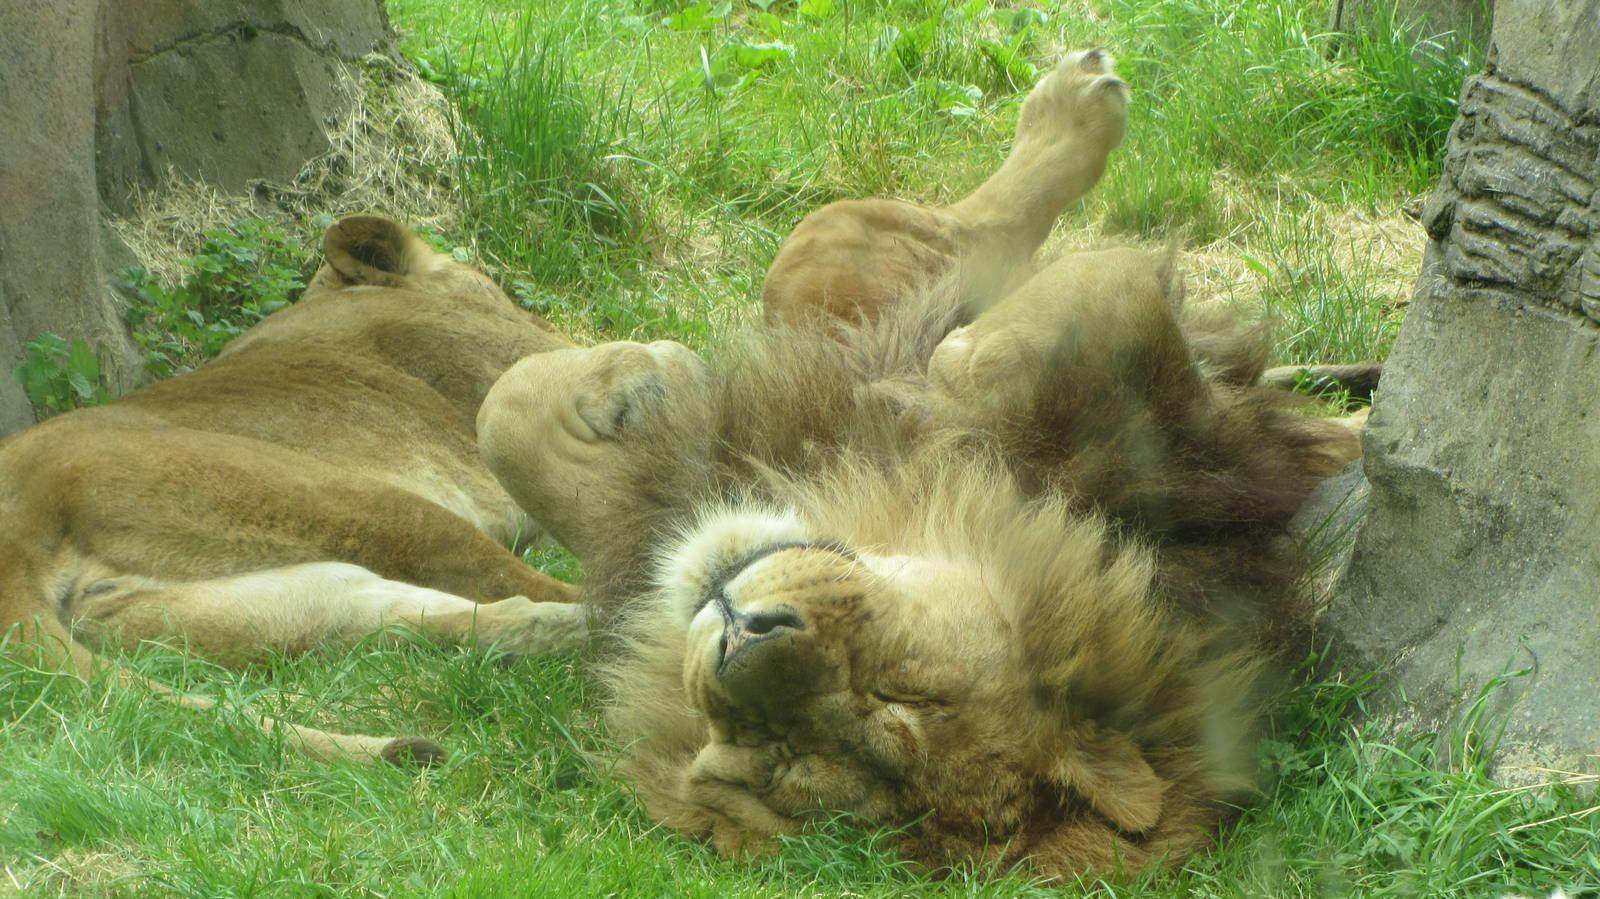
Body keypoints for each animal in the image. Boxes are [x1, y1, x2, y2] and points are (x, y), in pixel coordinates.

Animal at [0, 215, 586, 765]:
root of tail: (16, 521)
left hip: (253, 596)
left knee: (380, 618)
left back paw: (550, 631)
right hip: (348, 498)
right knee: (516, 579)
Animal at [477, 52, 1367, 877]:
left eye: (894, 695)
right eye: (762, 743)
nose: (741, 635)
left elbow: (1076, 302)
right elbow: (504, 412)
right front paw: (643, 374)